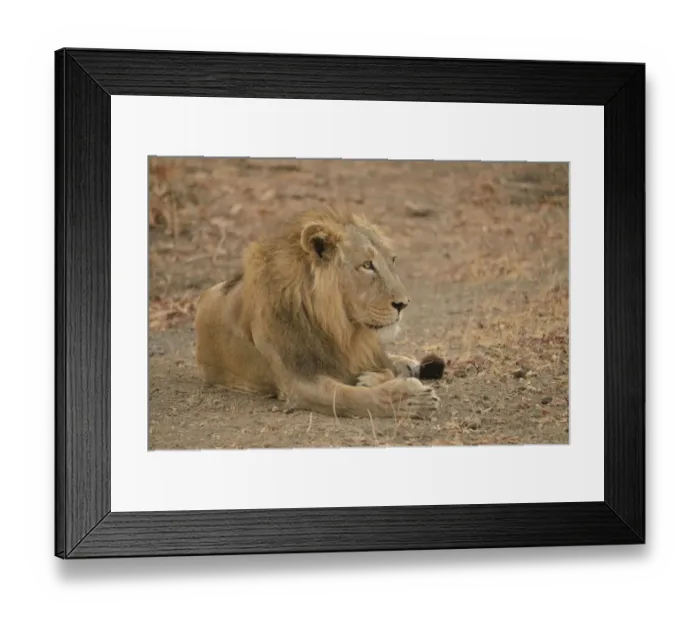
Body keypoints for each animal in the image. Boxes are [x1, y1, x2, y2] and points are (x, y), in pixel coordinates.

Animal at [194, 208, 440, 419]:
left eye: (393, 261)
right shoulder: (298, 382)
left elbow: (383, 371)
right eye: (367, 265)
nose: (404, 304)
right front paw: (412, 400)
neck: (340, 327)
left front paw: (373, 378)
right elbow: (350, 397)